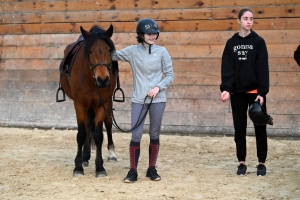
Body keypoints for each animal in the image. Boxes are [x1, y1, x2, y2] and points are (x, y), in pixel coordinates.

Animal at [58, 24, 118, 177]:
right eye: (90, 51)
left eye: (109, 50)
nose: (103, 80)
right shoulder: (79, 105)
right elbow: (81, 134)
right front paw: (78, 166)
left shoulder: (102, 104)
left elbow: (98, 135)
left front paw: (100, 167)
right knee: (87, 126)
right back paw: (85, 157)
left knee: (108, 124)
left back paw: (111, 154)